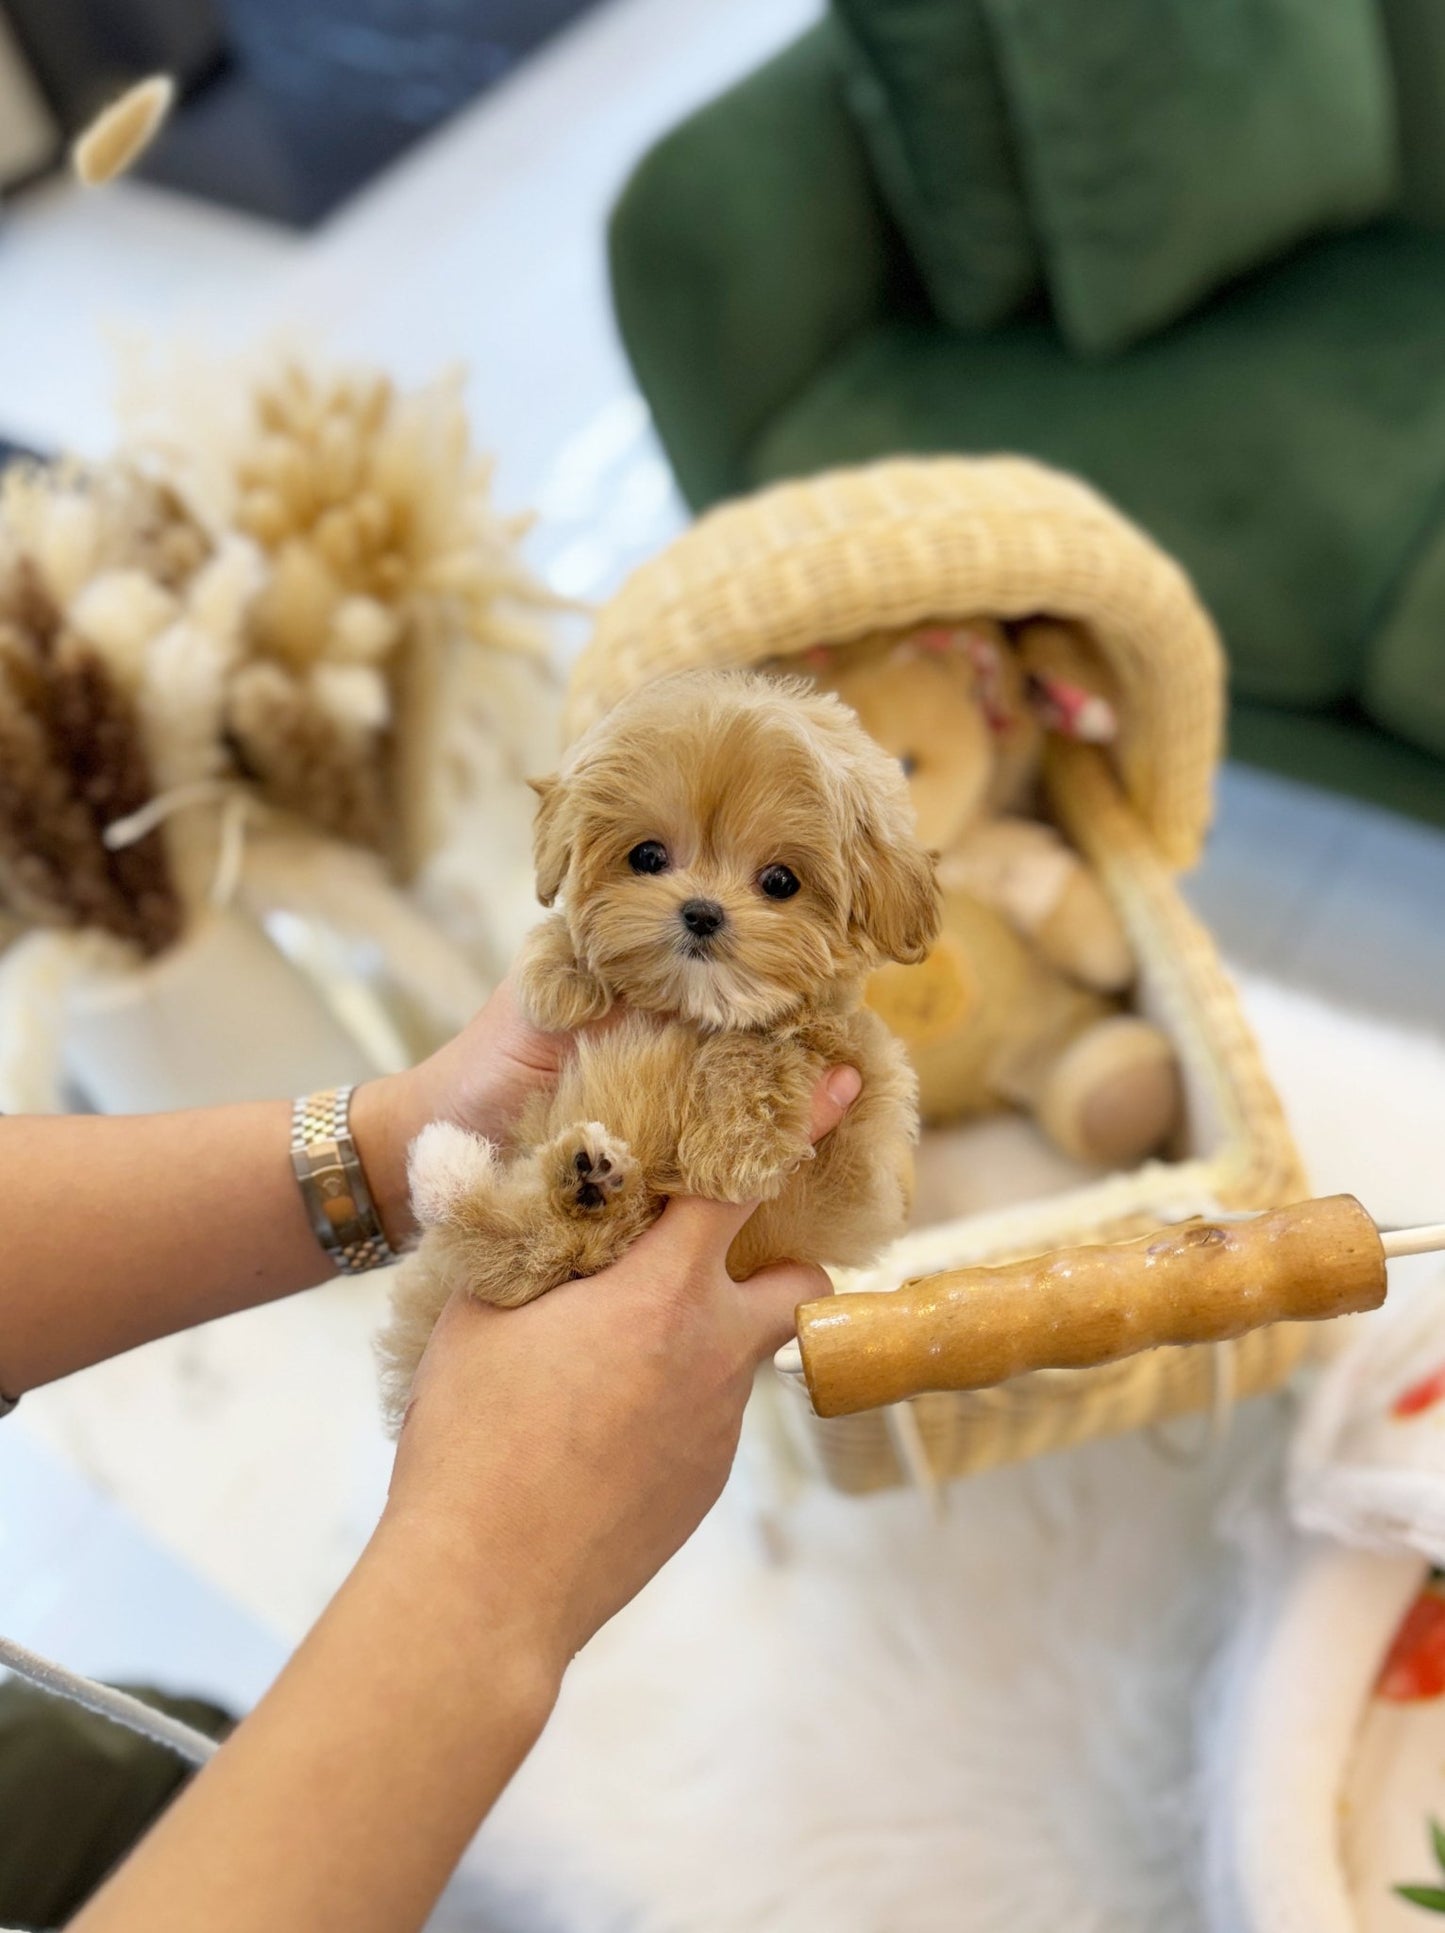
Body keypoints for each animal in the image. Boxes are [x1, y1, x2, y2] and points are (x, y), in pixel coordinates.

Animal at [378, 672, 938, 1430]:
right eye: (647, 856)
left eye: (780, 881)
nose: (701, 911)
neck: (695, 1011)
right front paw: (561, 971)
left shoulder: (854, 1118)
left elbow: (775, 1045)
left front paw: (734, 1146)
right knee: (531, 1249)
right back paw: (568, 1175)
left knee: (544, 1245)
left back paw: (580, 1175)